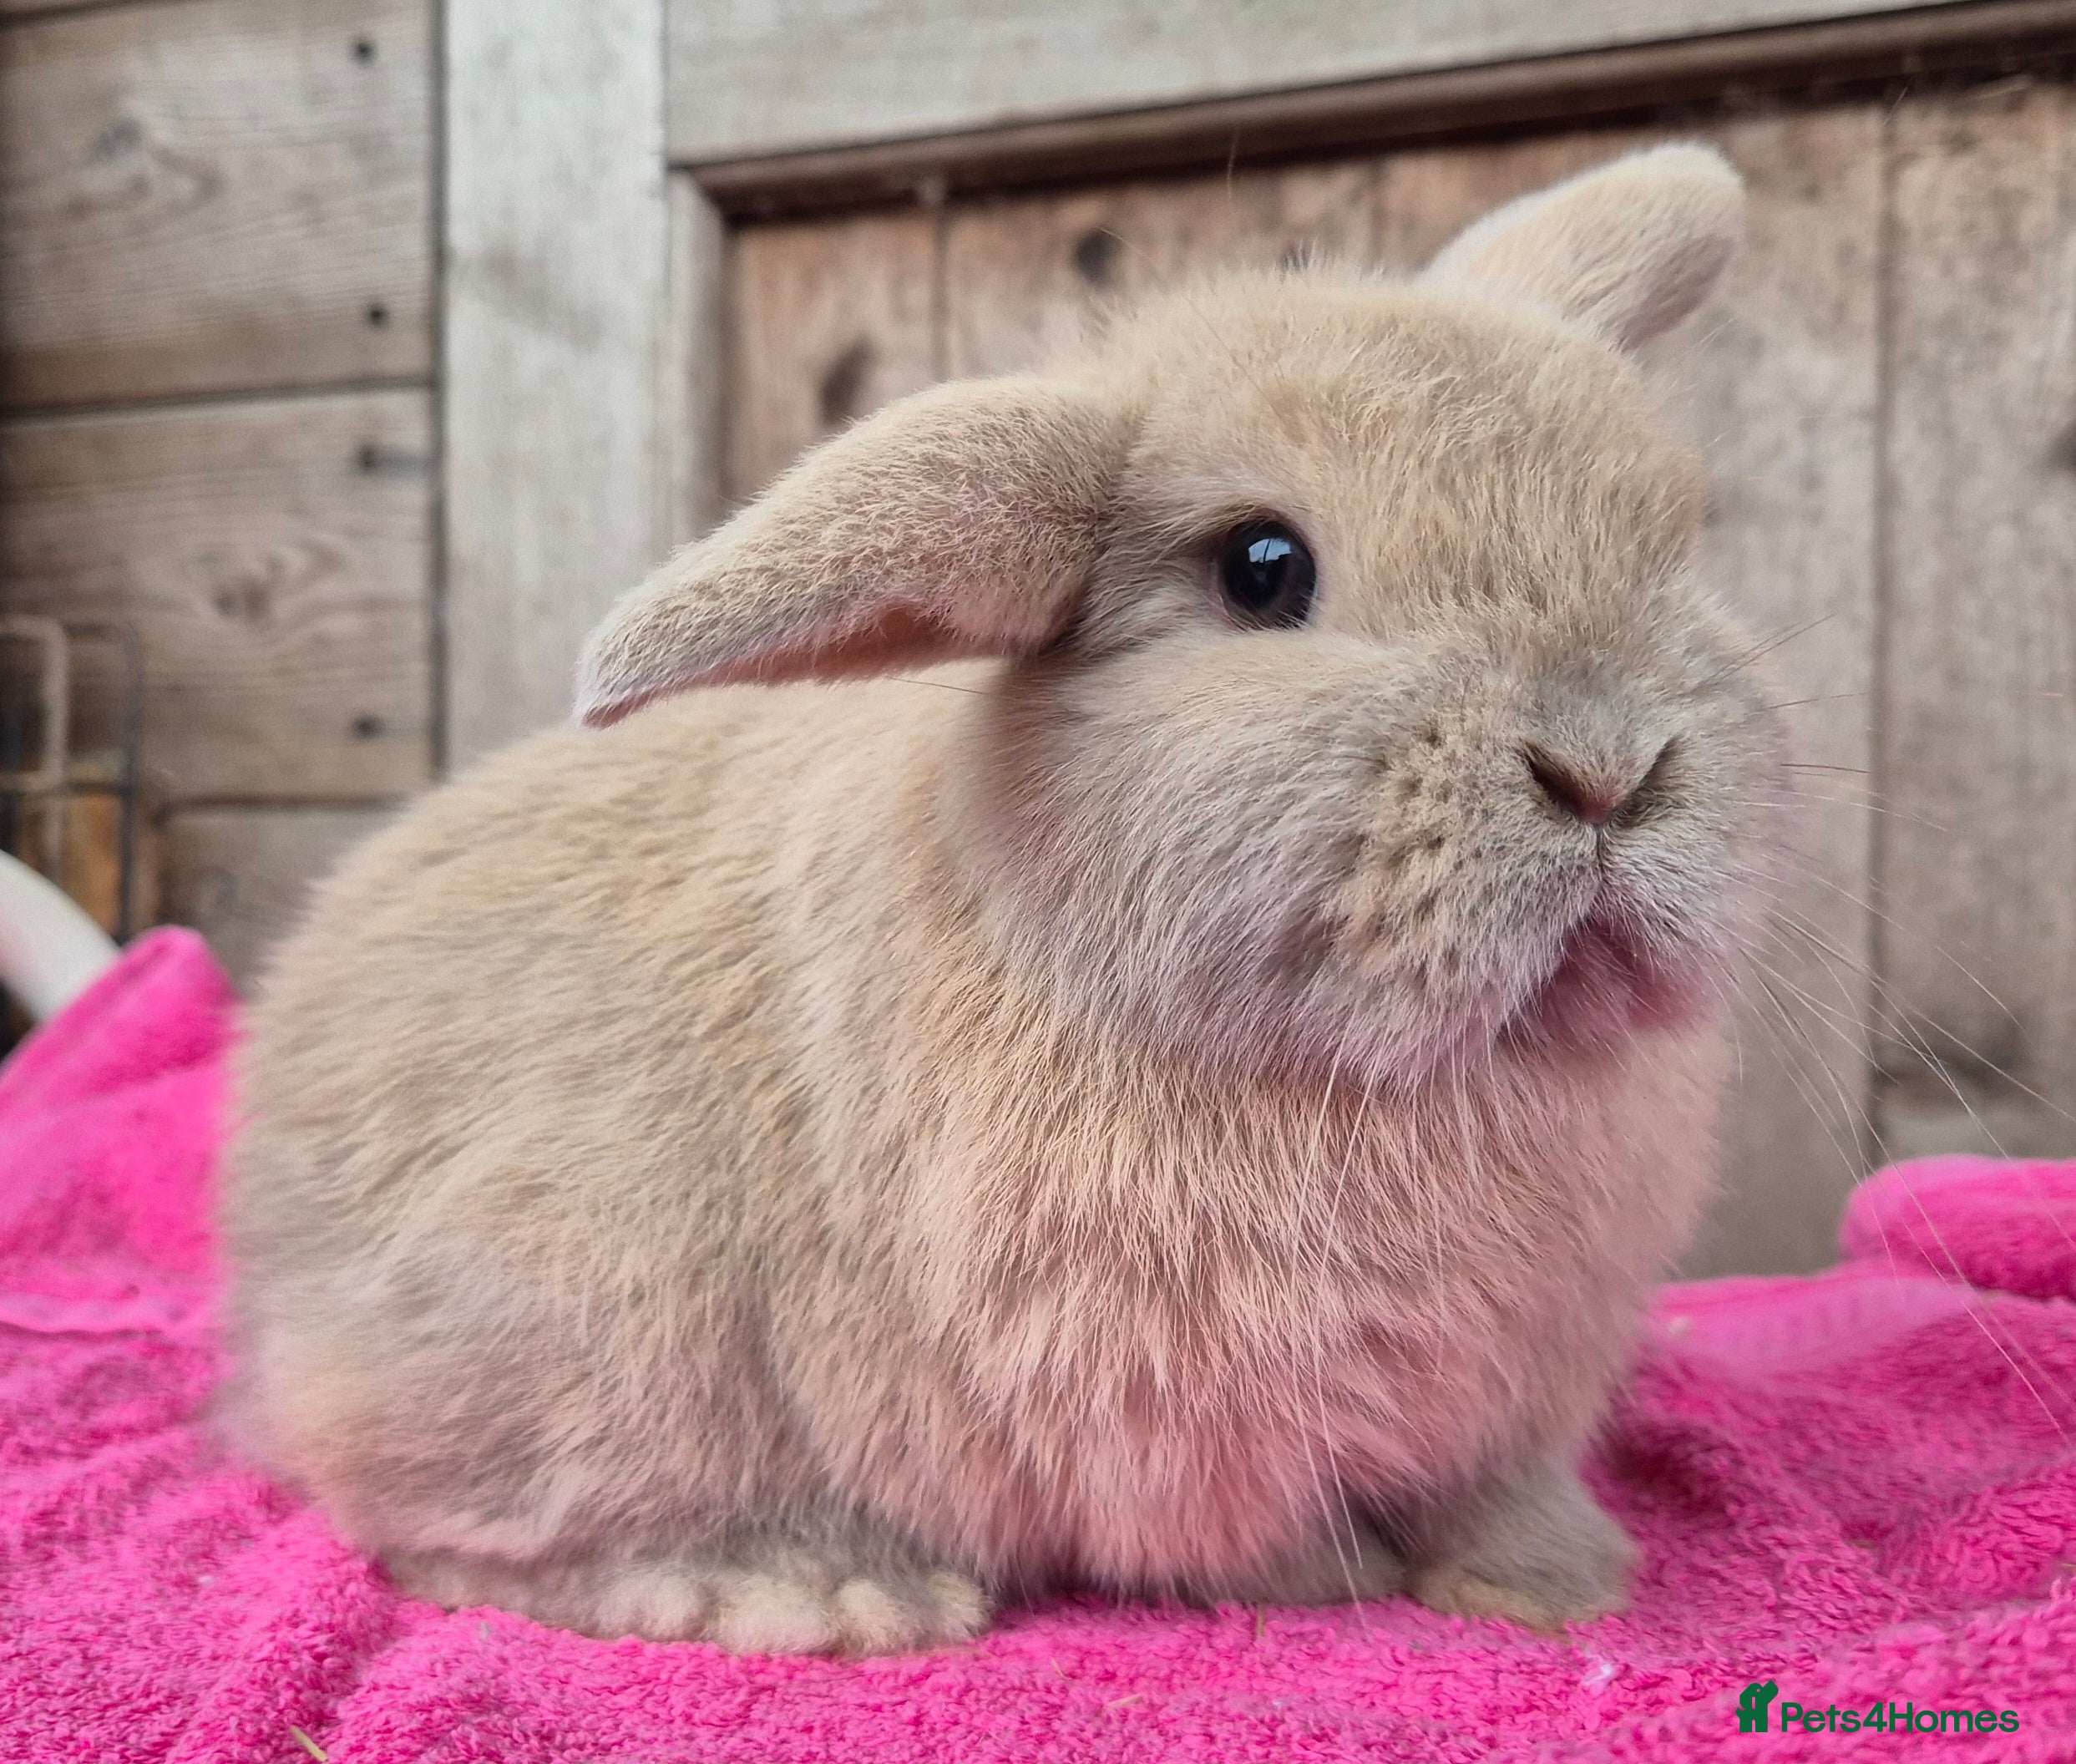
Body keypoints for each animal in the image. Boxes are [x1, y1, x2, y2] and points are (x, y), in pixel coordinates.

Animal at [222, 143, 1786, 1656]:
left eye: (1667, 540)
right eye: (1261, 570)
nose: (1606, 767)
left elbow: (1494, 1491)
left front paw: (1557, 1583)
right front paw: (1333, 1582)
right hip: (583, 1328)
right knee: (441, 1526)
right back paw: (812, 1591)